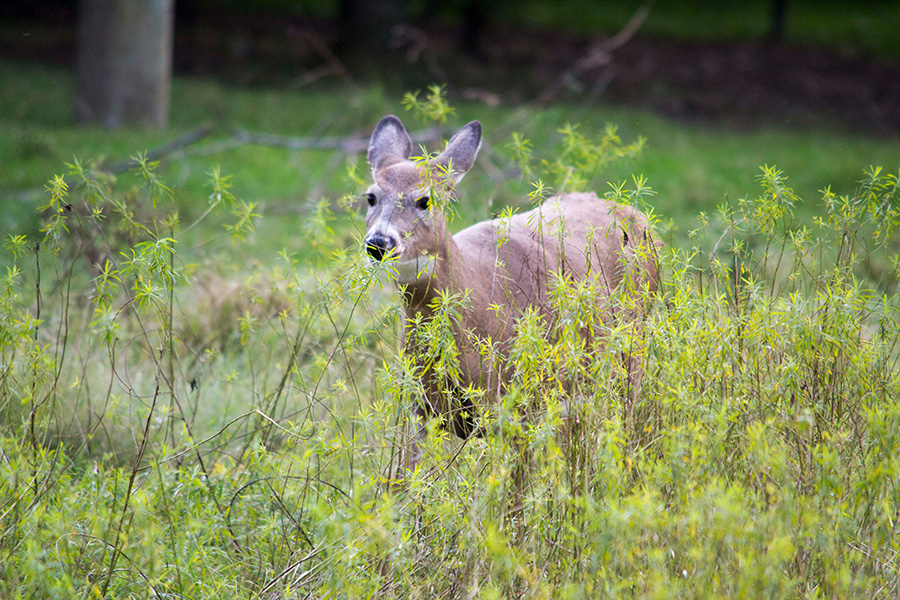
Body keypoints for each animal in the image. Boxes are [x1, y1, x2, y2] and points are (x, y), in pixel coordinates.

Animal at [360, 115, 660, 480]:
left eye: (425, 200)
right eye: (371, 196)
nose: (379, 242)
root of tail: (637, 215)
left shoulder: (519, 405)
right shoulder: (420, 407)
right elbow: (404, 482)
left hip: (631, 356)